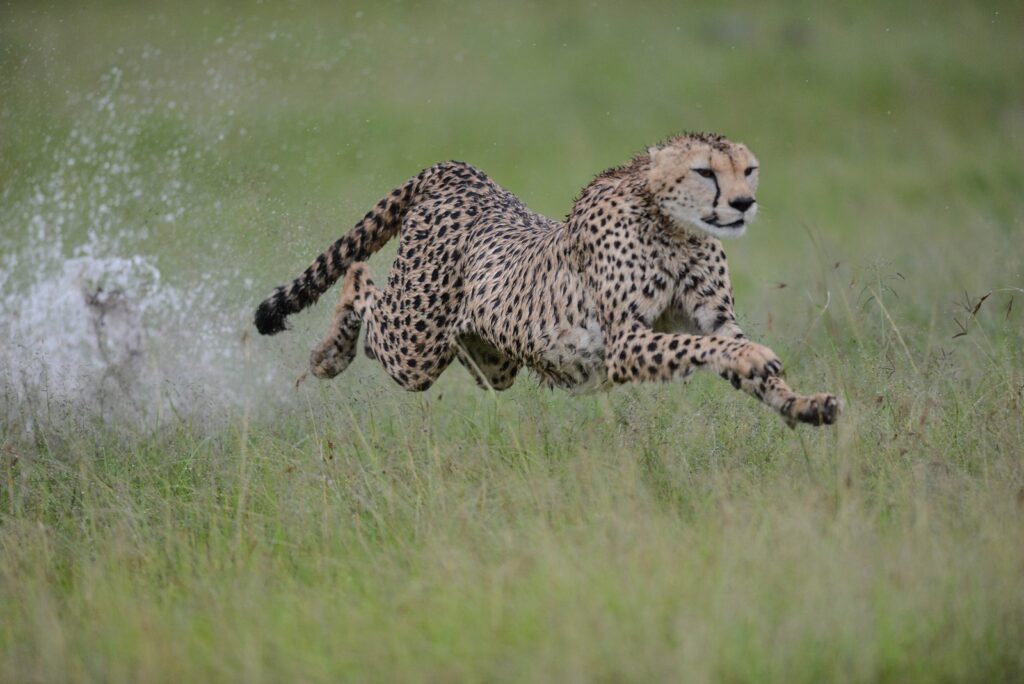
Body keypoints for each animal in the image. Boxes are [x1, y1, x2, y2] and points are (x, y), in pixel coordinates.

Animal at [254, 132, 839, 427]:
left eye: (749, 170)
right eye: (704, 171)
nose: (743, 204)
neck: (675, 227)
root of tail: (460, 172)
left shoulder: (712, 319)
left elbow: (737, 362)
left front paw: (804, 404)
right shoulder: (625, 342)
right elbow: (705, 348)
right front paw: (756, 357)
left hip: (491, 359)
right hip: (416, 343)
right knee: (360, 281)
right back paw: (327, 355)